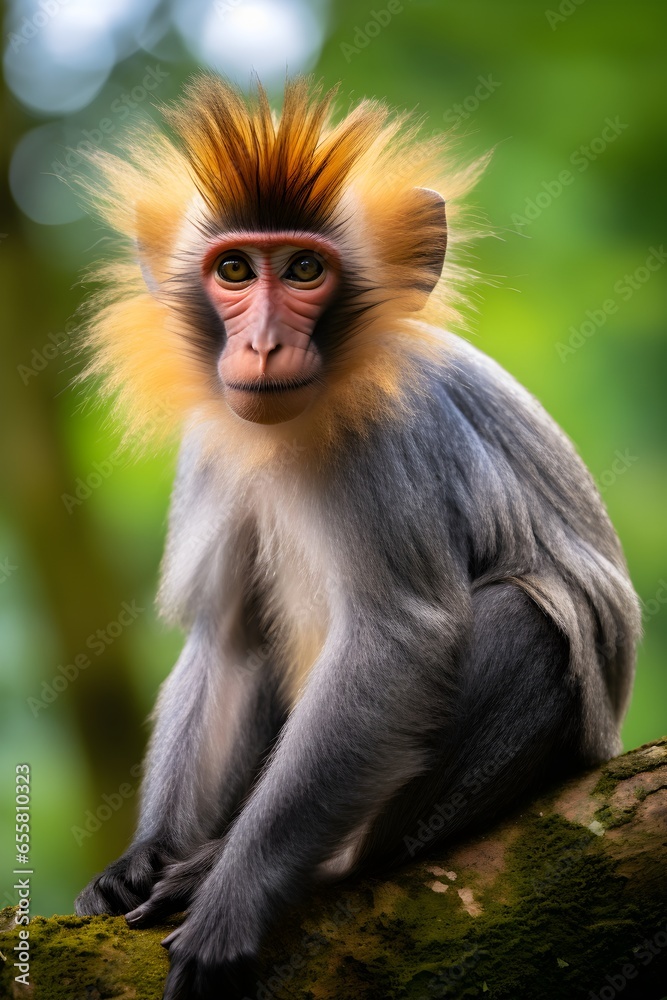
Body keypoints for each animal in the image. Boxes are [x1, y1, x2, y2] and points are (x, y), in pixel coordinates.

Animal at [73, 76, 640, 1000]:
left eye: (305, 270)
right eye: (235, 270)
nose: (263, 343)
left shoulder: (387, 433)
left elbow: (398, 635)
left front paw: (232, 893)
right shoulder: (213, 445)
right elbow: (227, 641)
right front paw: (145, 854)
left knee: (519, 618)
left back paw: (304, 861)